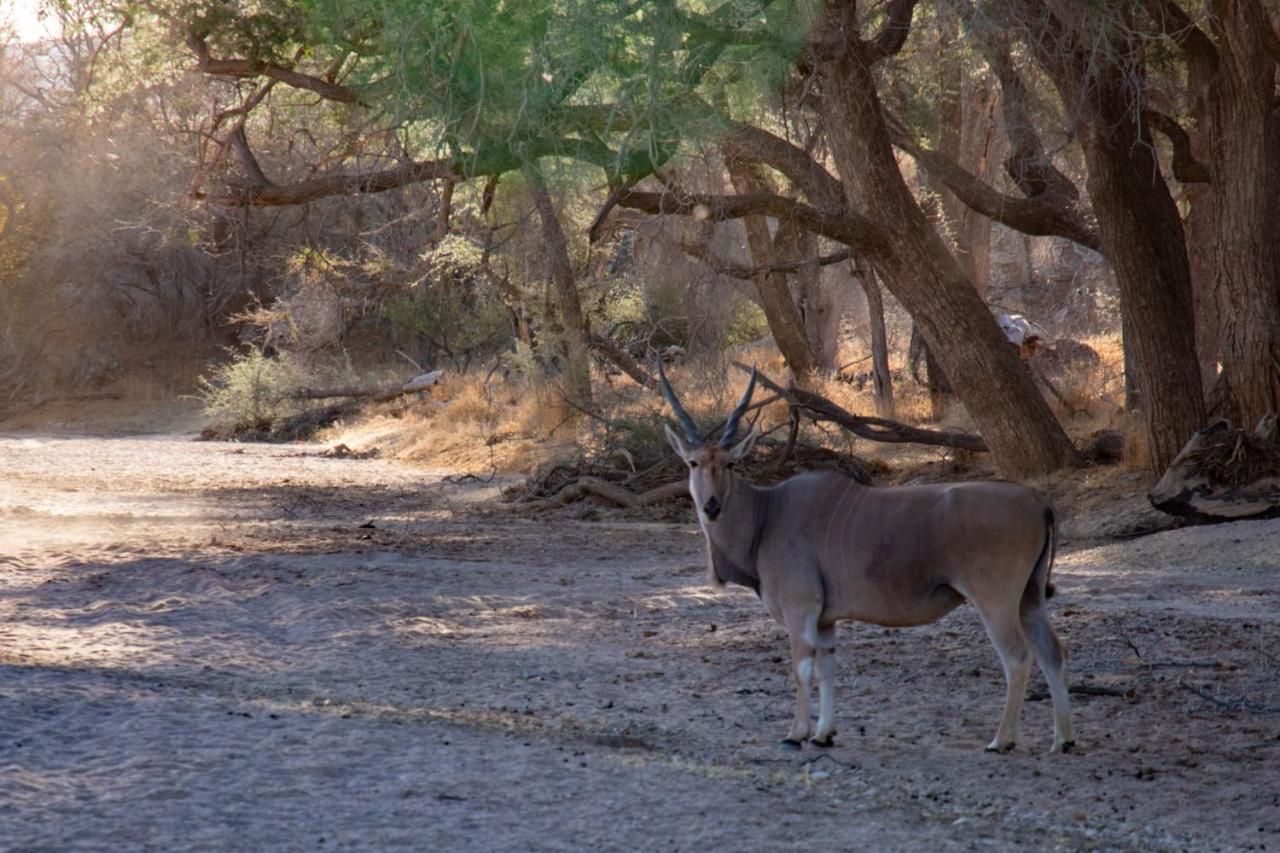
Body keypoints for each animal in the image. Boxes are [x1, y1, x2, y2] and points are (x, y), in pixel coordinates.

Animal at [665, 361, 1075, 747]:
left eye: (730, 464)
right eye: (693, 463)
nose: (711, 506)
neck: (768, 515)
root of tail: (1037, 500)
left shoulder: (800, 609)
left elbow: (801, 669)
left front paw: (797, 733)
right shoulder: (825, 620)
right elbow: (827, 666)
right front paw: (824, 733)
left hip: (996, 600)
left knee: (1018, 657)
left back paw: (1001, 740)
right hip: (1029, 597)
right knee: (1052, 652)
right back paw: (1062, 739)